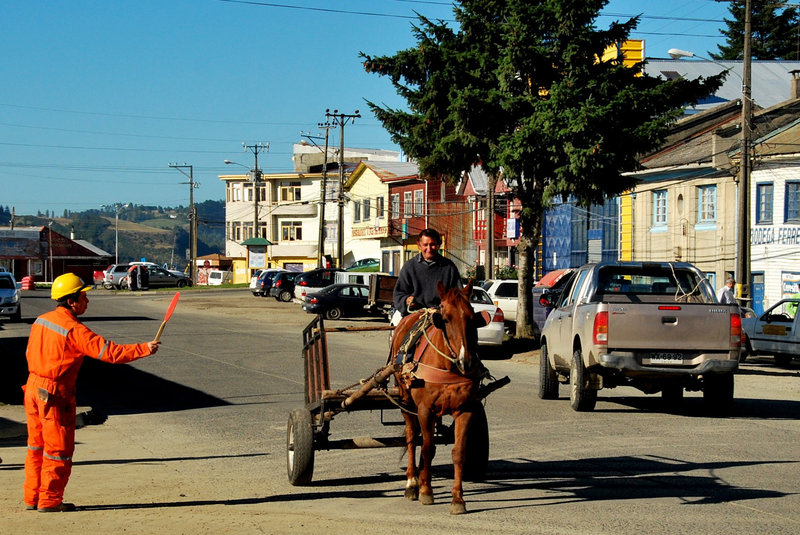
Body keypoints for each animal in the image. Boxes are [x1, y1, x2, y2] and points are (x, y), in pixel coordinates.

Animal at [390, 280, 490, 516]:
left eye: (471, 316)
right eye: (445, 318)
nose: (466, 361)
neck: (447, 365)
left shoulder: (466, 409)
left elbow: (458, 452)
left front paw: (458, 499)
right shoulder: (425, 409)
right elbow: (427, 449)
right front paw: (426, 490)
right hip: (406, 403)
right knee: (412, 437)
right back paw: (412, 483)